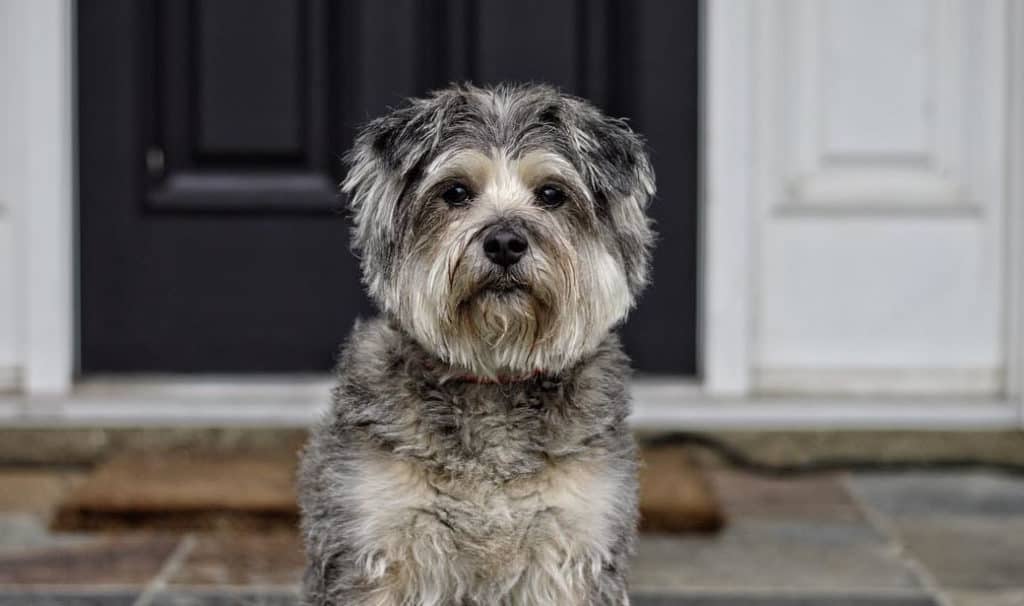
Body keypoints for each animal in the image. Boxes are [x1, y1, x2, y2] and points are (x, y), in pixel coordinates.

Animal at [296, 81, 655, 606]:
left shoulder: (573, 545)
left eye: (552, 194)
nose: (505, 242)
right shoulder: (376, 541)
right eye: (456, 192)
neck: (495, 376)